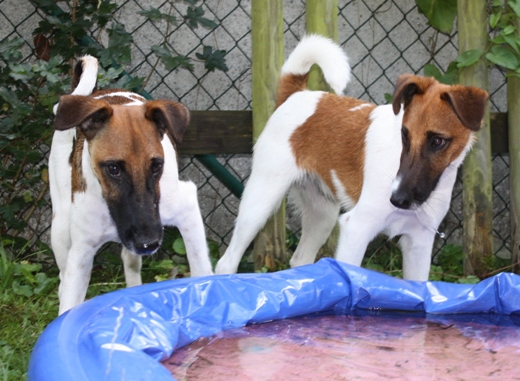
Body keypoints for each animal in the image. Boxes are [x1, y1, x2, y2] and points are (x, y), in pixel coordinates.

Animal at [48, 55, 211, 312]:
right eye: (113, 169)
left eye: (156, 165)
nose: (148, 243)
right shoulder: (81, 251)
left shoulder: (186, 209)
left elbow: (201, 268)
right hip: (61, 228)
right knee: (63, 277)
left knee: (130, 263)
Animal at [214, 35, 488, 280]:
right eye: (404, 135)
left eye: (438, 141)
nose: (398, 199)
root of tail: (296, 94)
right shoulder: (356, 229)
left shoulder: (418, 243)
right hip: (260, 202)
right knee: (227, 262)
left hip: (322, 214)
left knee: (300, 260)